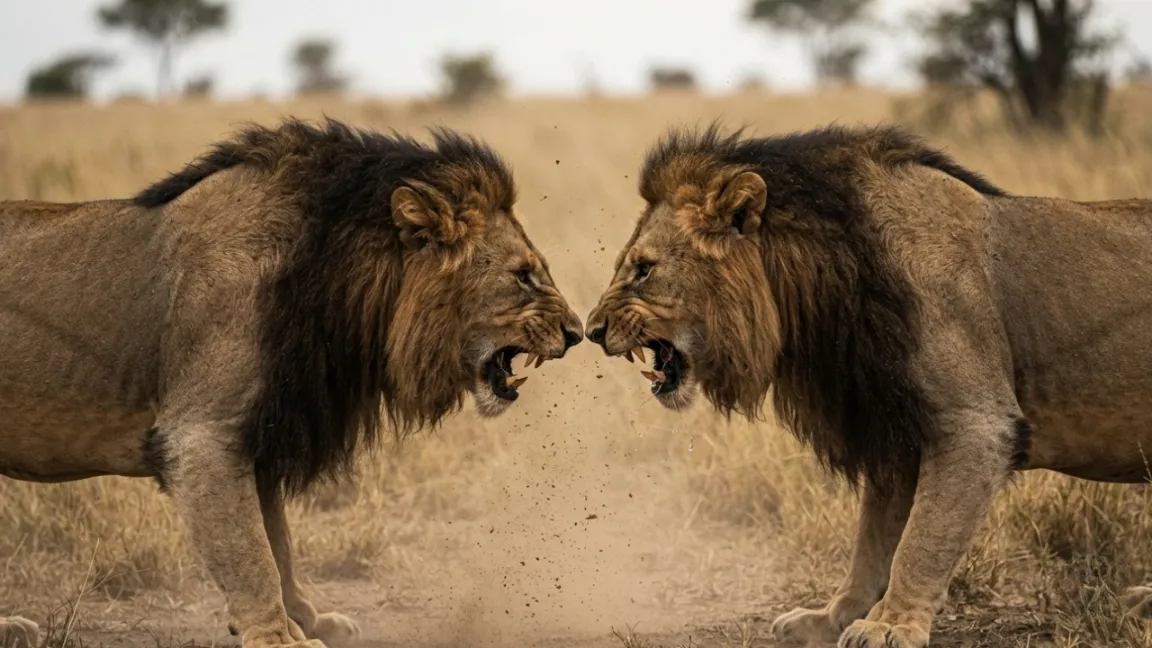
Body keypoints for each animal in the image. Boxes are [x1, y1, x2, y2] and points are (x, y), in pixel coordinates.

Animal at [0, 117, 583, 648]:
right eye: (523, 275)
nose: (578, 333)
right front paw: (278, 638)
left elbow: (277, 542)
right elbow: (252, 552)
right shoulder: (201, 435)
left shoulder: (261, 435)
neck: (342, 286)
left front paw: (307, 618)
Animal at [585, 122, 1152, 648]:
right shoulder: (892, 426)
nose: (591, 331)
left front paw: (890, 626)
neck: (819, 288)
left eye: (644, 269)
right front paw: (830, 618)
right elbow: (872, 544)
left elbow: (921, 540)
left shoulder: (975, 423)